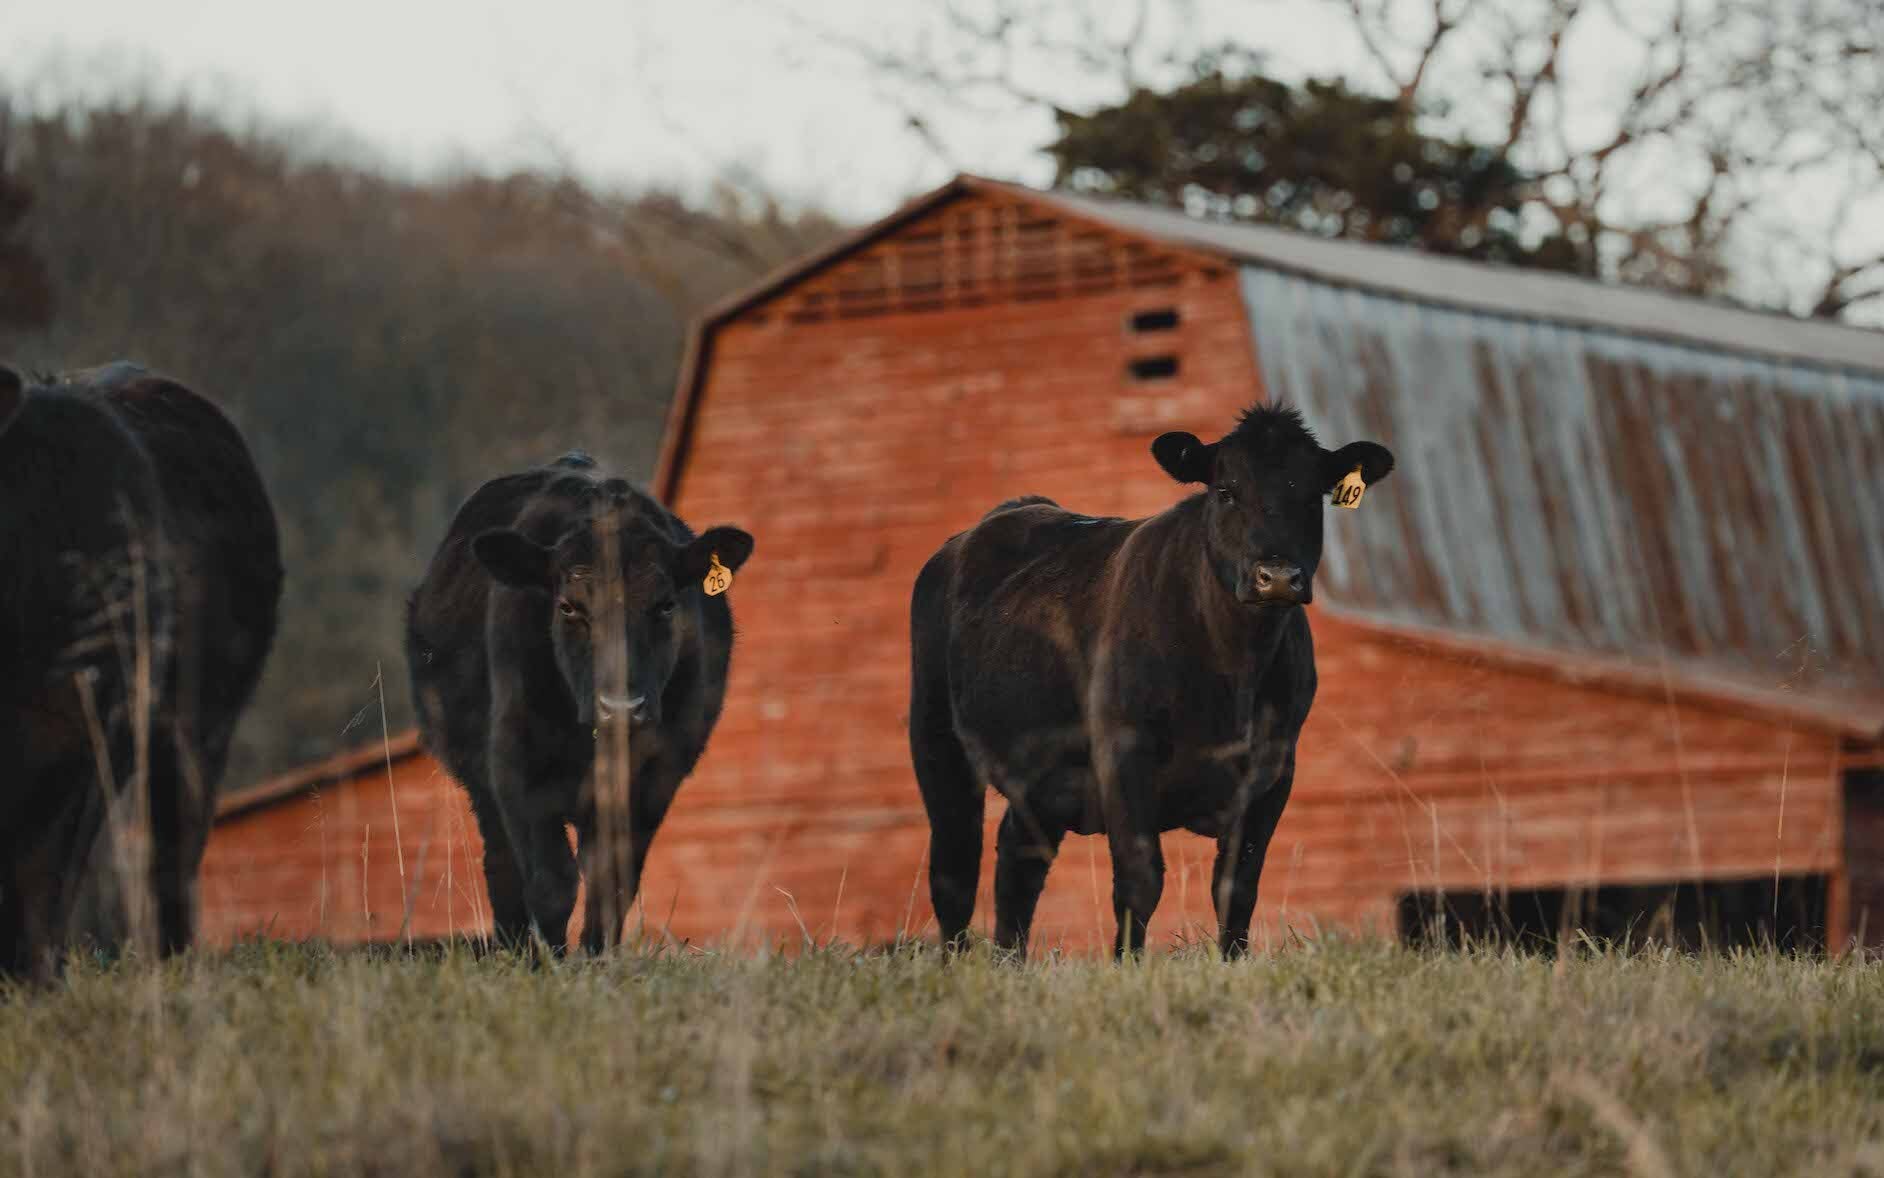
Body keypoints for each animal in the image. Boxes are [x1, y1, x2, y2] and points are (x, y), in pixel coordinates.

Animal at [408, 454, 753, 949]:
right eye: (568, 607)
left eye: (666, 605)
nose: (622, 708)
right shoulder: (516, 769)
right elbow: (551, 882)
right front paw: (549, 959)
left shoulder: (654, 778)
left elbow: (612, 881)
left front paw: (595, 959)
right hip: (481, 780)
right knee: (502, 866)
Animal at [904, 403, 1394, 957]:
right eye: (1225, 490)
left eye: (1313, 496)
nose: (1277, 577)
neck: (1233, 674)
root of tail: (1006, 513)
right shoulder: (1123, 754)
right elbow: (1141, 881)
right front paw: (1126, 966)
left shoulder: (1274, 769)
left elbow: (1237, 889)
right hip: (937, 742)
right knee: (953, 870)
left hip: (1041, 778)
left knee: (1018, 859)